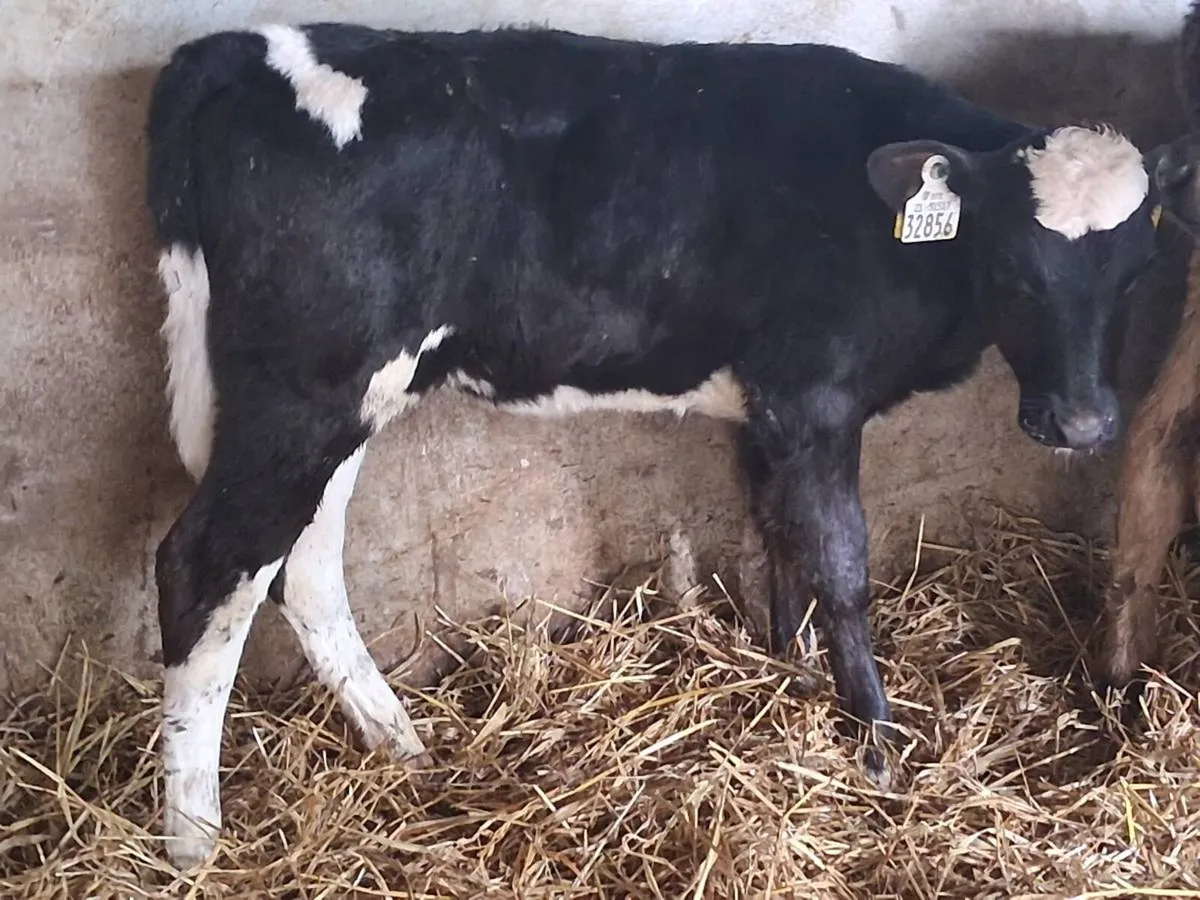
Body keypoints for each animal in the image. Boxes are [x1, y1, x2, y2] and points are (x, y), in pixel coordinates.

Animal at [146, 23, 1172, 867]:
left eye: (1135, 274)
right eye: (1011, 267)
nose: (1084, 425)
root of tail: (240, 46)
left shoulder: (770, 408)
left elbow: (779, 538)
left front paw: (788, 672)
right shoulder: (814, 396)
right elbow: (841, 563)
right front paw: (878, 747)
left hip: (343, 397)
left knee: (303, 564)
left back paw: (400, 744)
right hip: (307, 387)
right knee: (206, 564)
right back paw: (194, 842)